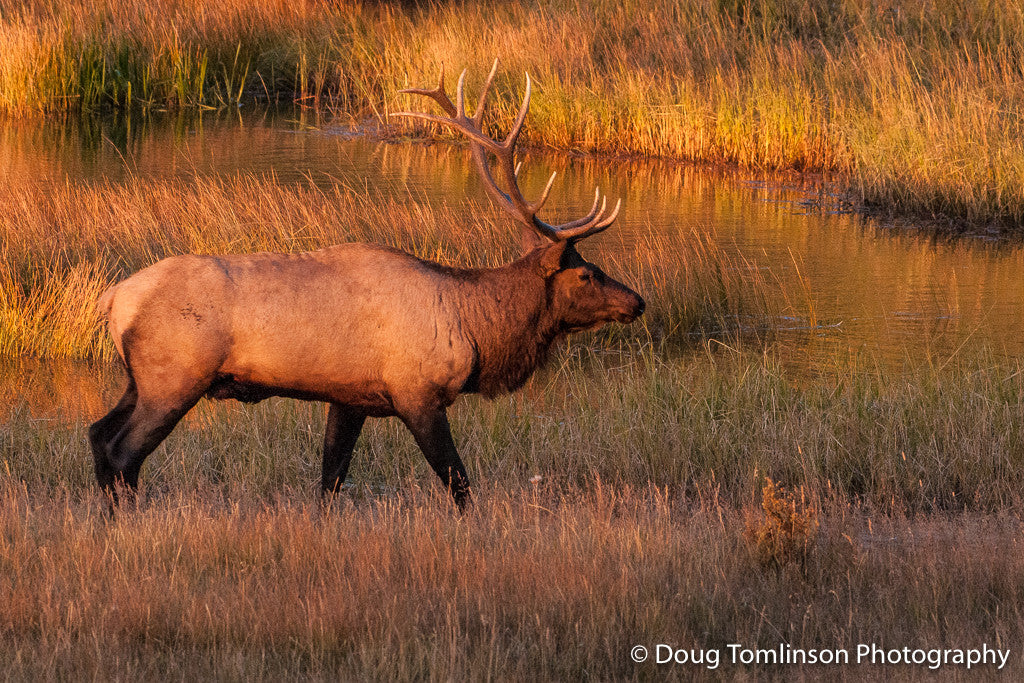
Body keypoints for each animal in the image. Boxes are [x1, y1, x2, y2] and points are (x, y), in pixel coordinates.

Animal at [89, 61, 645, 510]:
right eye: (586, 273)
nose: (637, 302)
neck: (475, 329)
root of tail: (114, 299)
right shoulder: (416, 393)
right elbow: (458, 482)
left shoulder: (349, 397)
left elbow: (331, 479)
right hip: (175, 376)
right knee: (122, 453)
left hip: (139, 379)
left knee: (97, 435)